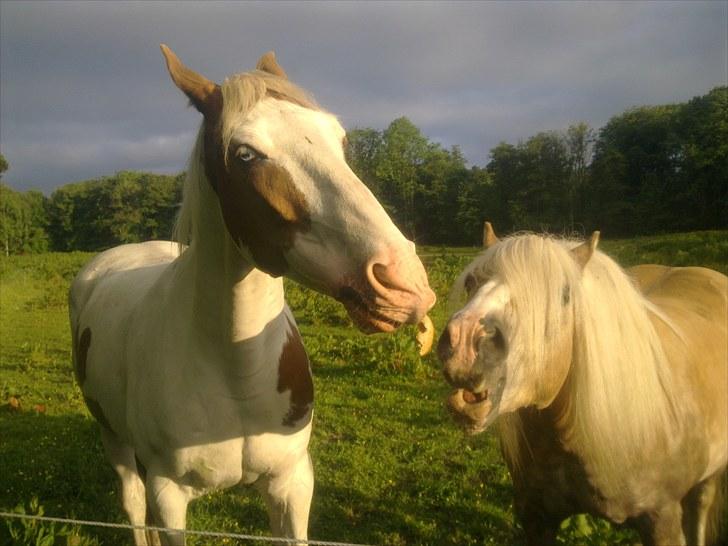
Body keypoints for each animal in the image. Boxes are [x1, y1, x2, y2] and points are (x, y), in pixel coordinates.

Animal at [68, 46, 432, 544]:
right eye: (245, 154)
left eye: (339, 140)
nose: (402, 282)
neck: (236, 372)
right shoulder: (169, 497)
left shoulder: (292, 483)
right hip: (113, 438)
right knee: (133, 503)